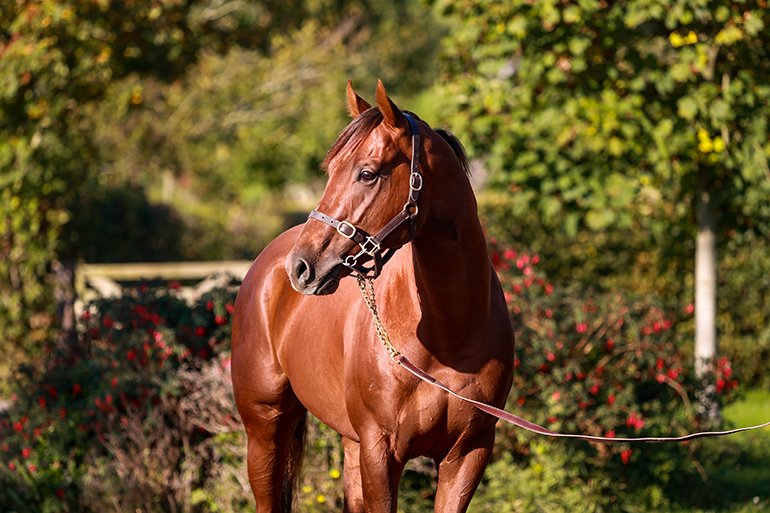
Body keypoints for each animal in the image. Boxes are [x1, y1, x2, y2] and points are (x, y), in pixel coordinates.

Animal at [231, 80, 514, 513]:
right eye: (330, 170)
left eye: (367, 173)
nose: (302, 267)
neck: (450, 335)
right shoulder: (381, 452)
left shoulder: (469, 453)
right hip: (264, 430)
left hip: (349, 443)